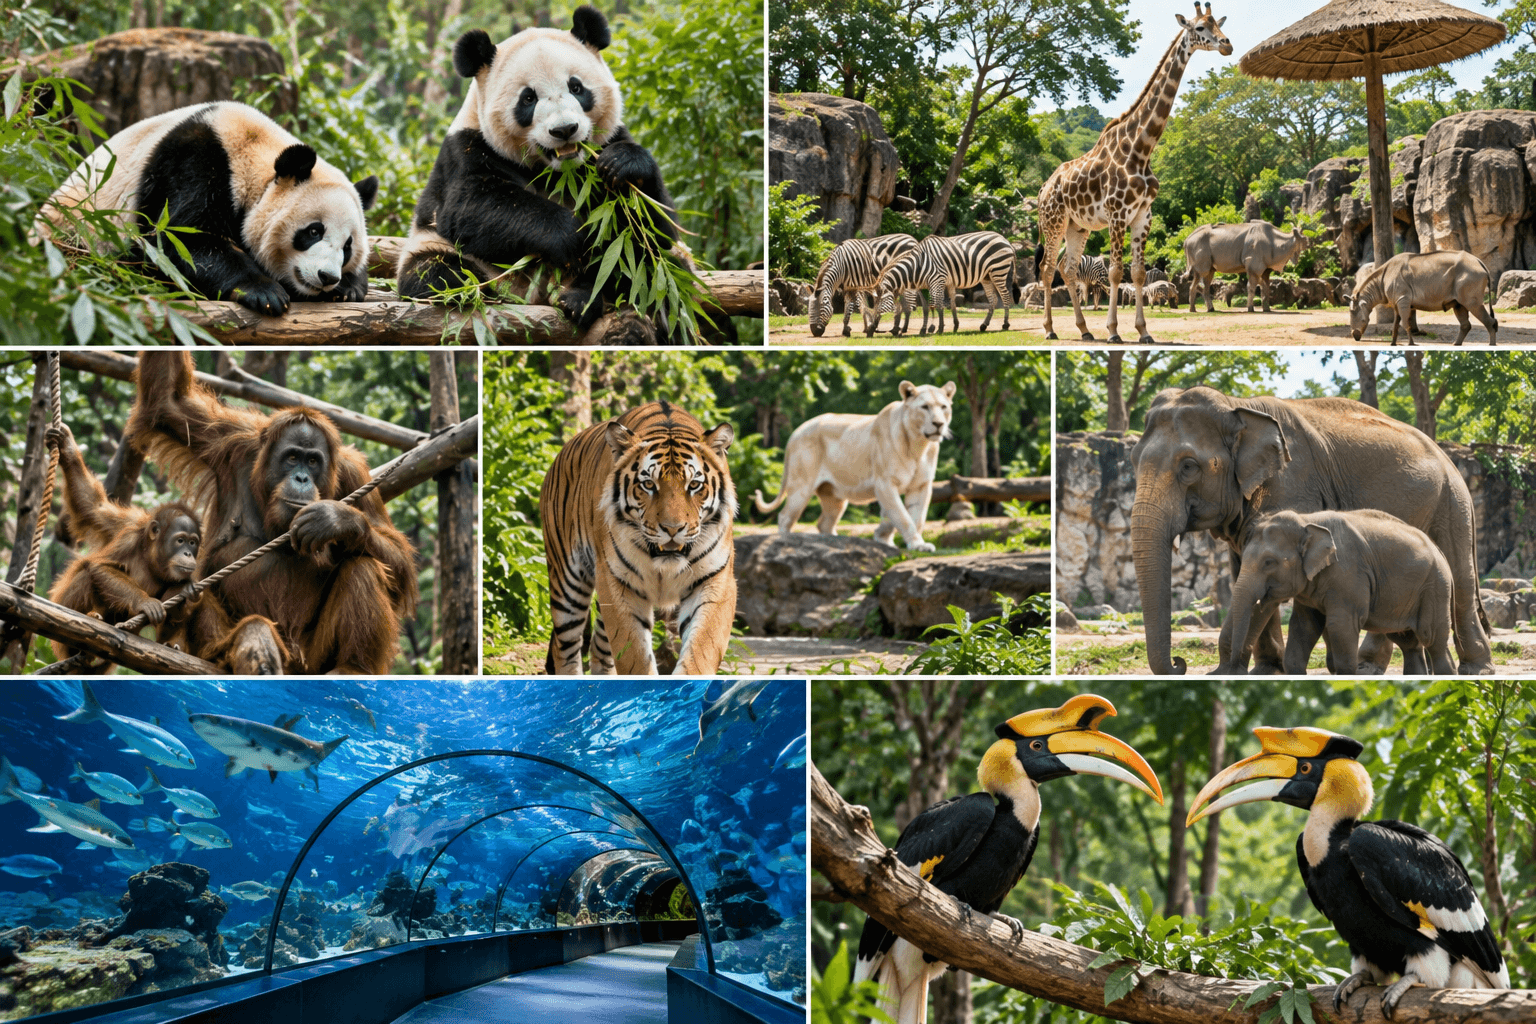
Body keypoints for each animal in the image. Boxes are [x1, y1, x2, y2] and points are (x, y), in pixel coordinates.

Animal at [39, 101, 378, 317]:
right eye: (313, 231)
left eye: (348, 246)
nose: (327, 276)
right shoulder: (194, 164)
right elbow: (181, 239)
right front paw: (265, 293)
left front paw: (349, 287)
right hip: (79, 231)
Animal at [396, 5, 677, 329]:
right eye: (528, 98)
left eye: (576, 87)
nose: (565, 129)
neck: (558, 171)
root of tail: (535, 296)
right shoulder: (467, 149)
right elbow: (471, 206)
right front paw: (573, 234)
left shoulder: (609, 141)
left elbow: (654, 228)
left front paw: (624, 165)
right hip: (438, 249)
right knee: (435, 273)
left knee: (649, 272)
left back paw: (581, 298)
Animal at [1037, 2, 1231, 343]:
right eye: (1199, 28)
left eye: (1218, 24)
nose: (1226, 45)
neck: (1141, 149)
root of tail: (1042, 189)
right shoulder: (1117, 214)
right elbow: (1117, 272)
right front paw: (1114, 331)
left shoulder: (1143, 215)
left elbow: (1138, 273)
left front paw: (1143, 332)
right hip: (1054, 221)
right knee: (1048, 269)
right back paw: (1049, 330)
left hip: (1078, 227)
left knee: (1067, 269)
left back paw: (1084, 330)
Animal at [1216, 510, 1456, 676]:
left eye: (1269, 562)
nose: (1234, 669)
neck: (1306, 520)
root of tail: (1441, 552)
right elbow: (1304, 626)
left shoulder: (1348, 574)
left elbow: (1341, 625)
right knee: (1408, 643)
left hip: (1434, 587)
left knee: (1432, 638)